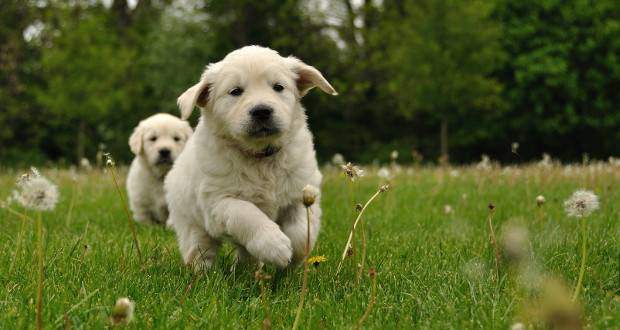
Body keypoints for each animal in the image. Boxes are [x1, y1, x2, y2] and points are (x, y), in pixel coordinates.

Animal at [165, 45, 336, 270]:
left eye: (278, 87)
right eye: (235, 91)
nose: (262, 111)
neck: (261, 156)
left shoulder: (301, 192)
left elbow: (301, 231)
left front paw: (294, 258)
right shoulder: (219, 201)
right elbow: (247, 214)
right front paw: (275, 245)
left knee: (246, 252)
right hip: (190, 221)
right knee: (199, 249)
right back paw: (204, 273)